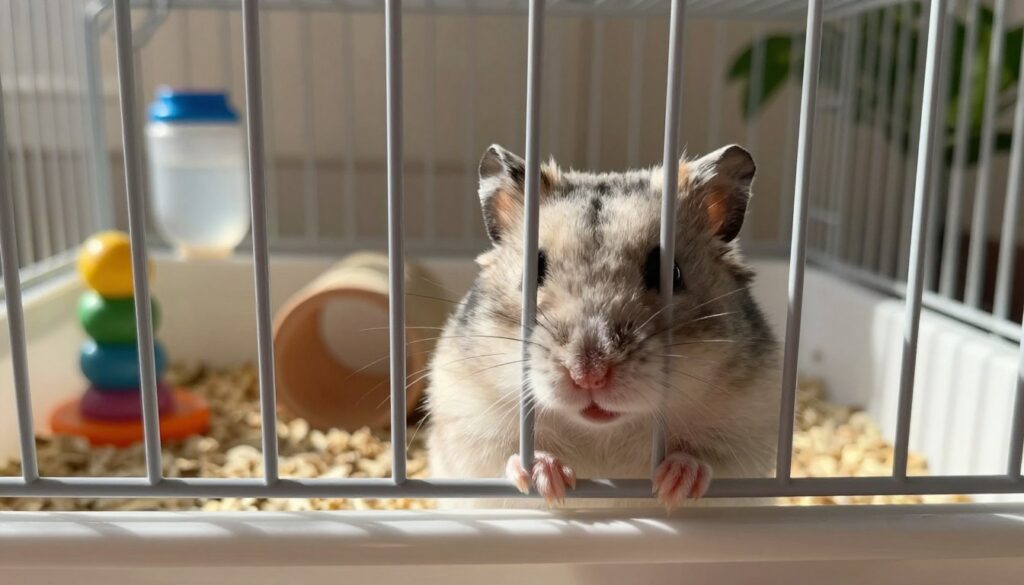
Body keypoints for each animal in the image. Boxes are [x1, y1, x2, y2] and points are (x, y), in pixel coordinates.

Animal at [424, 144, 779, 509]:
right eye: (532, 272)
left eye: (673, 273)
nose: (589, 374)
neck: (602, 431)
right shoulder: (469, 425)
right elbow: (505, 457)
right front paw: (547, 477)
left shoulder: (747, 431)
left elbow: (710, 459)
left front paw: (676, 482)